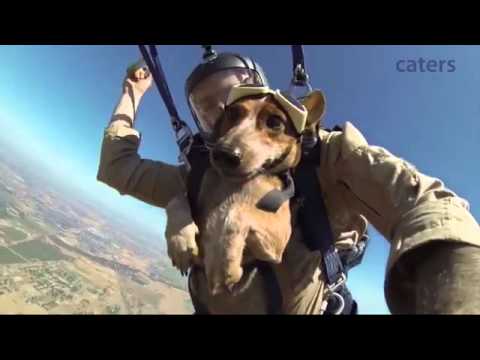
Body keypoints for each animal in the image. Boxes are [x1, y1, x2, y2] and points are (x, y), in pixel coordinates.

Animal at [195, 90, 326, 298]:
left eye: (275, 122)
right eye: (233, 113)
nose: (224, 153)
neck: (238, 185)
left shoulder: (280, 235)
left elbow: (235, 214)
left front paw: (224, 261)